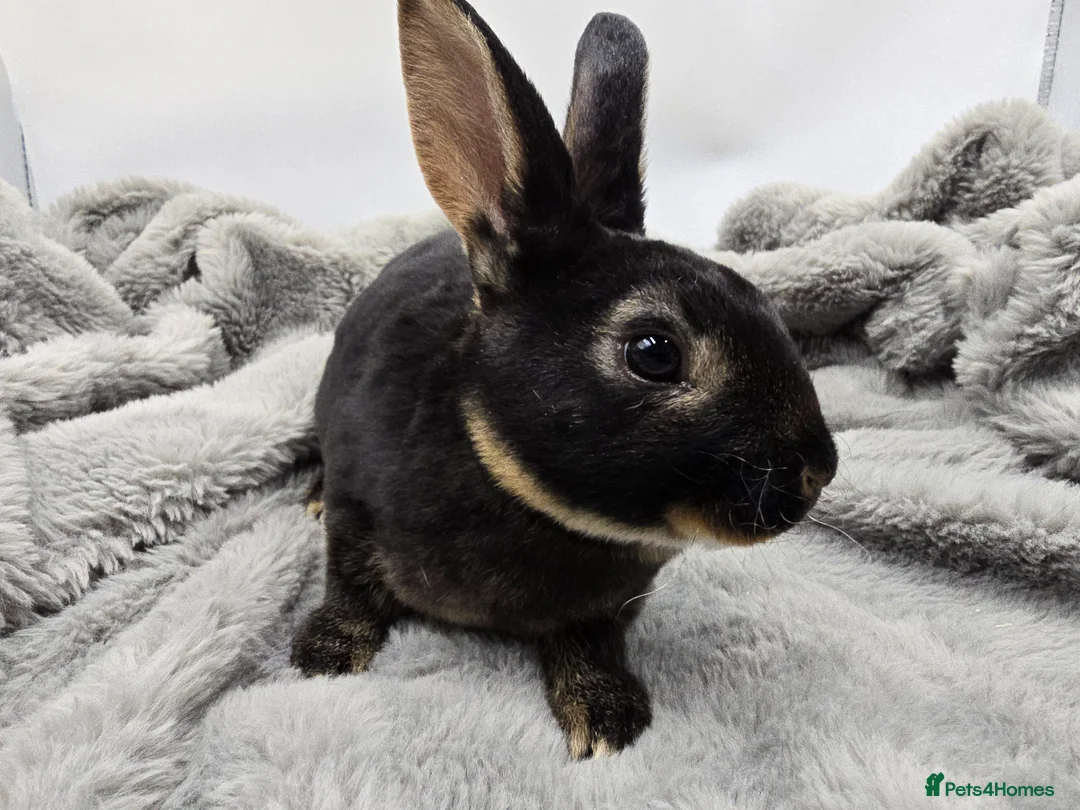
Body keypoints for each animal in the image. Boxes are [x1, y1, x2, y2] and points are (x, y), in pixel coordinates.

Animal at [291, 0, 838, 760]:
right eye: (653, 352)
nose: (819, 469)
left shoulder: (610, 608)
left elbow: (590, 641)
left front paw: (608, 720)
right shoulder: (355, 515)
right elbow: (347, 586)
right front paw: (324, 655)